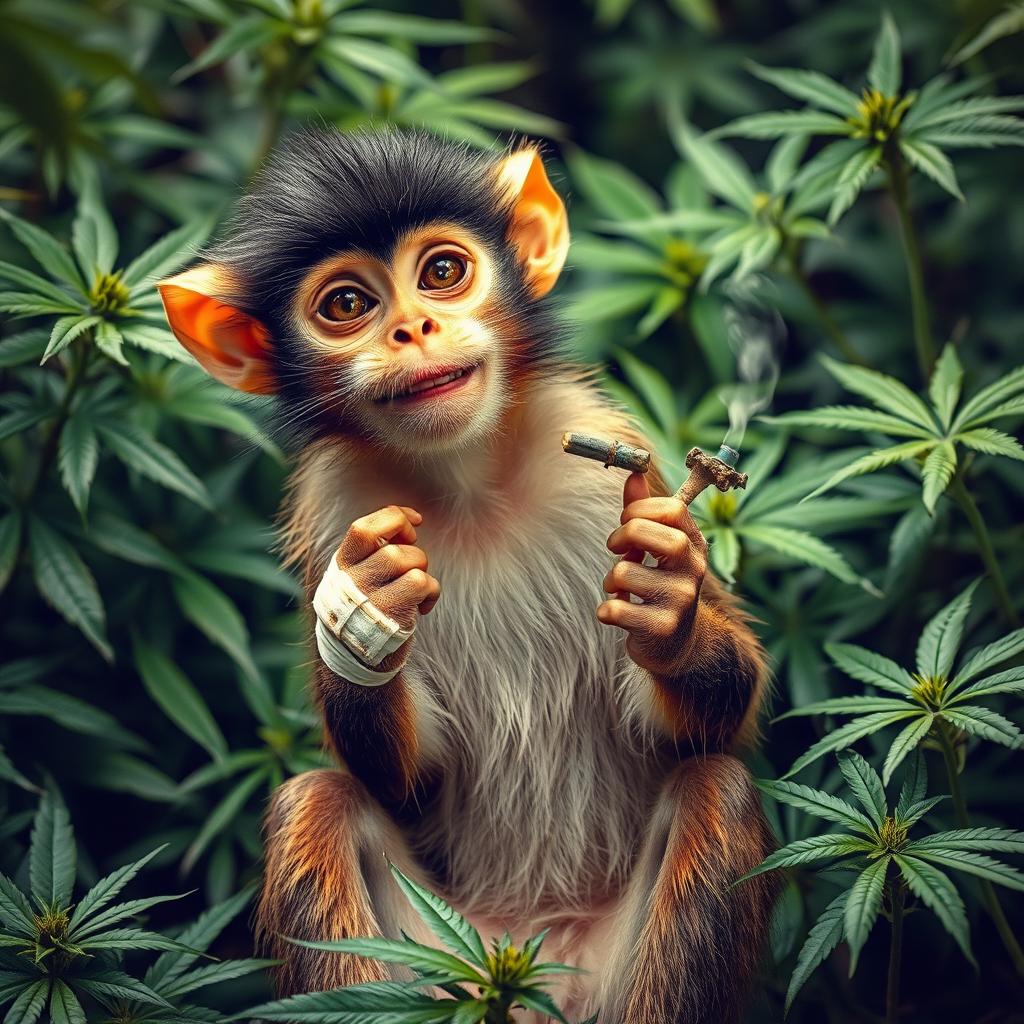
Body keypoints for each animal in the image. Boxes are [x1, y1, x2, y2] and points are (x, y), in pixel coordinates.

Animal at [158, 128, 778, 1024]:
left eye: (443, 272)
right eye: (345, 305)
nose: (415, 328)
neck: (468, 482)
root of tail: (524, 961)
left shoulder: (599, 443)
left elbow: (702, 730)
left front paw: (671, 599)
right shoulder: (338, 502)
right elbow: (402, 779)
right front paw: (366, 607)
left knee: (714, 789)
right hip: (439, 959)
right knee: (316, 801)